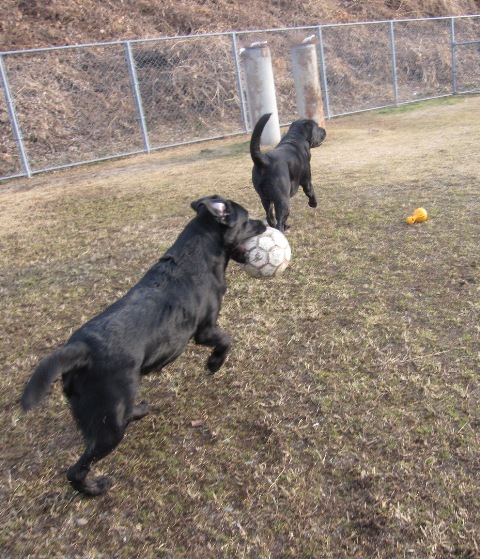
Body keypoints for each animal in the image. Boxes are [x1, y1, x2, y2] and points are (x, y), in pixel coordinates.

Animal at [20, 197, 264, 498]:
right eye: (247, 220)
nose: (266, 223)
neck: (198, 256)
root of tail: (80, 350)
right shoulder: (205, 330)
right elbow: (226, 340)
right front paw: (214, 364)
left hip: (108, 410)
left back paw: (138, 412)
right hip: (110, 424)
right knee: (76, 470)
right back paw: (94, 489)